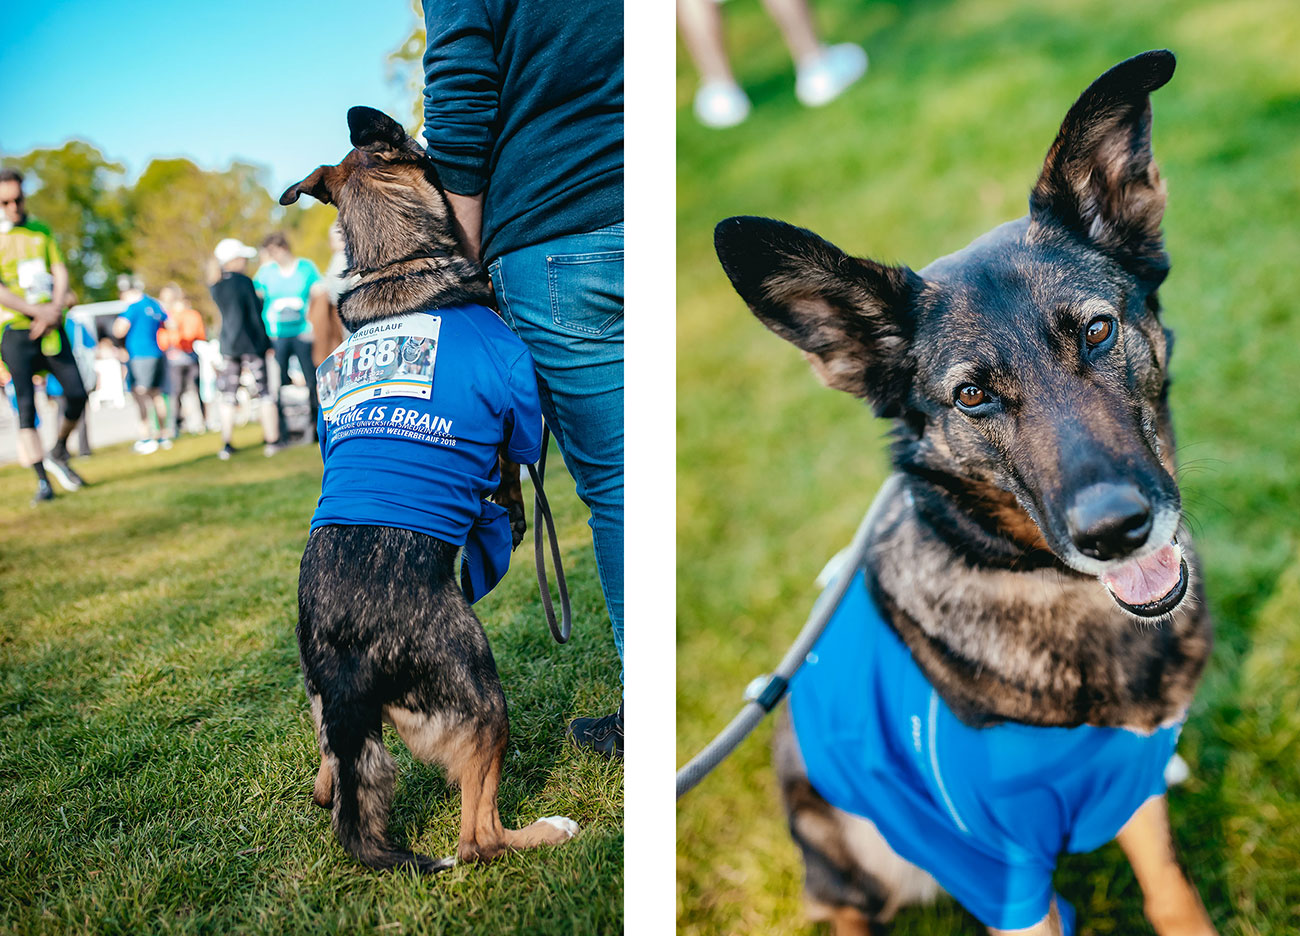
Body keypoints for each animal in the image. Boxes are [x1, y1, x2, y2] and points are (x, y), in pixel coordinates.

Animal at [284, 105, 579, 873]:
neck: (397, 264)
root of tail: (346, 660)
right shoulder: (517, 409)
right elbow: (513, 465)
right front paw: (508, 510)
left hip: (324, 707)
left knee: (333, 783)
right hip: (482, 697)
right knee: (477, 839)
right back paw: (544, 832)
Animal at [717, 52, 1211, 935]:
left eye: (1097, 331)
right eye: (972, 396)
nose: (1116, 532)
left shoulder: (1129, 785)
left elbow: (1168, 884)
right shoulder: (1003, 871)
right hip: (834, 838)